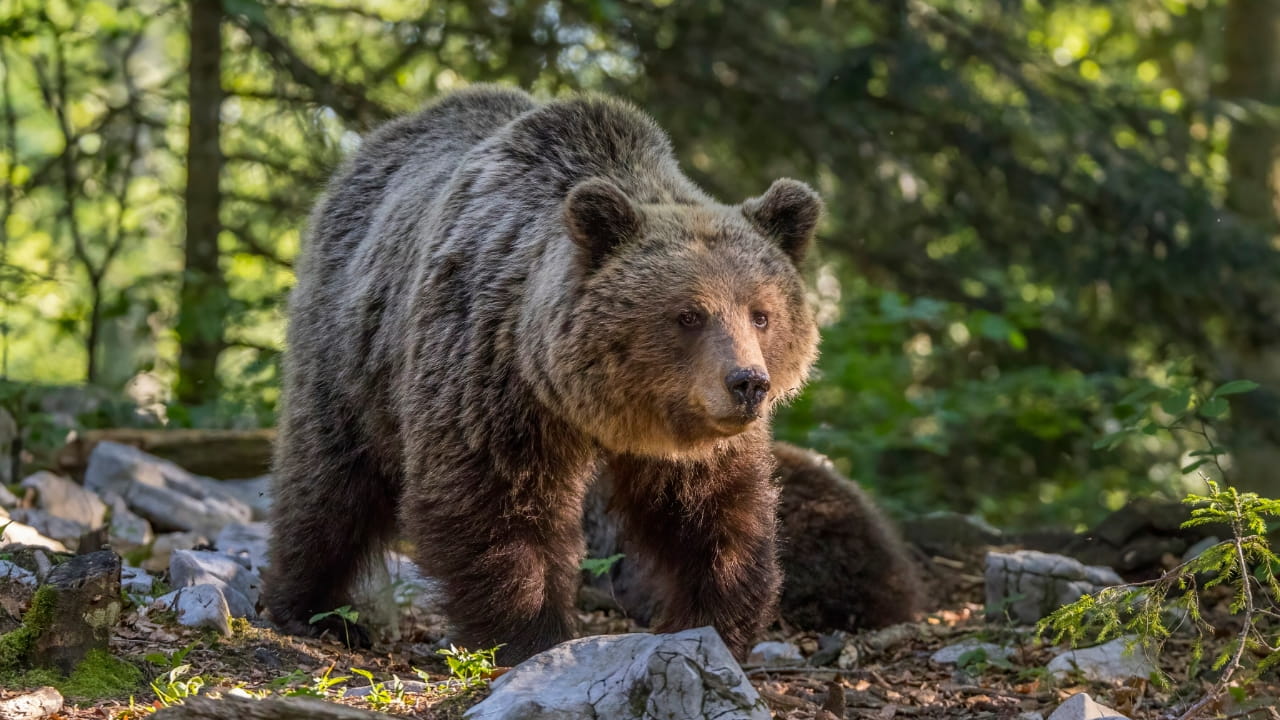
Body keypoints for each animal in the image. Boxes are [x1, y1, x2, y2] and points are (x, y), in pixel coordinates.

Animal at [264, 85, 823, 664]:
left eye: (761, 314)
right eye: (689, 315)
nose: (748, 383)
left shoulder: (693, 435)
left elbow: (713, 513)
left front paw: (713, 622)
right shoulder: (491, 375)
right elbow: (494, 502)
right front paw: (531, 634)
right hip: (352, 346)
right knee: (330, 480)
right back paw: (315, 609)